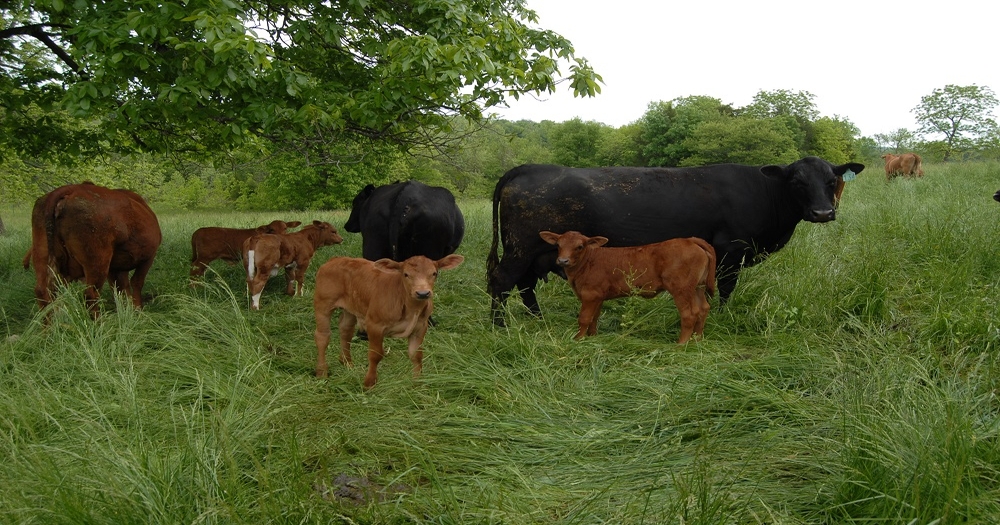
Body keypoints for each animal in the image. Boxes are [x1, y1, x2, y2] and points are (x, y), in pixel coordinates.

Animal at [29, 182, 162, 315]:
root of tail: (72, 189)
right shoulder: (148, 258)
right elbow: (136, 283)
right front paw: (137, 310)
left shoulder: (115, 267)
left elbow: (120, 288)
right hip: (97, 262)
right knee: (91, 294)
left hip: (42, 255)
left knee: (43, 292)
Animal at [313, 254, 464, 389]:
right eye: (406, 274)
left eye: (434, 273)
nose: (423, 293)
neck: (411, 308)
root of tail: (335, 259)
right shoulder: (374, 325)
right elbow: (376, 354)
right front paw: (369, 383)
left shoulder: (420, 327)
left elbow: (416, 355)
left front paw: (418, 384)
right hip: (323, 304)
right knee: (322, 336)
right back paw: (322, 372)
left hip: (351, 308)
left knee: (346, 331)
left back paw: (347, 363)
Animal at [487, 156, 865, 325]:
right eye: (796, 182)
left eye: (831, 180)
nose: (822, 212)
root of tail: (531, 167)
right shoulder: (730, 249)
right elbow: (725, 287)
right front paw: (722, 317)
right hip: (521, 247)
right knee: (502, 281)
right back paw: (499, 325)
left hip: (538, 251)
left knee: (525, 285)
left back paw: (538, 320)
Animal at [540, 231, 716, 344]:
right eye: (558, 245)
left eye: (580, 246)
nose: (563, 261)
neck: (587, 262)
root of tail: (690, 240)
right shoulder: (598, 296)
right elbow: (594, 317)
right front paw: (592, 337)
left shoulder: (590, 294)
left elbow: (584, 318)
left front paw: (577, 339)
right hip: (698, 287)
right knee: (703, 309)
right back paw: (697, 340)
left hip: (681, 288)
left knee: (689, 314)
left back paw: (680, 345)